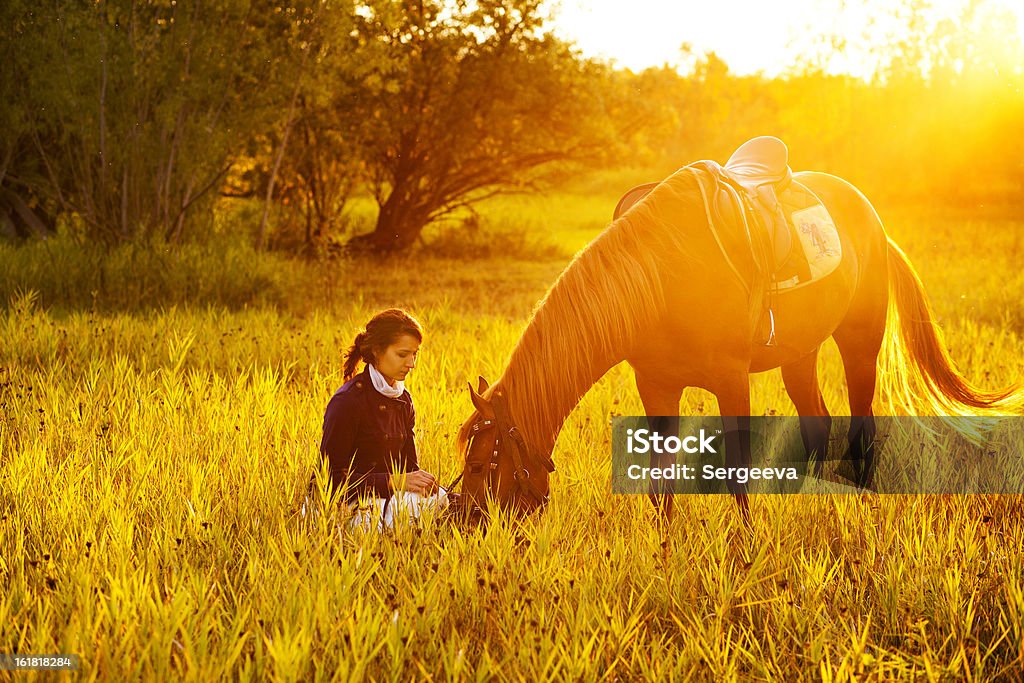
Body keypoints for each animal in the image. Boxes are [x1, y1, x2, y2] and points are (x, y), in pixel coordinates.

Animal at [452, 156, 1019, 518]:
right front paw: (664, 556)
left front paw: (745, 556)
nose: (467, 521)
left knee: (861, 428)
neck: (659, 280)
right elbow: (660, 484)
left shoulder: (731, 381)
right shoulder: (656, 387)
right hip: (800, 354)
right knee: (817, 424)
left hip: (859, 343)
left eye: (481, 463)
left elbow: (737, 477)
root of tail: (874, 223)